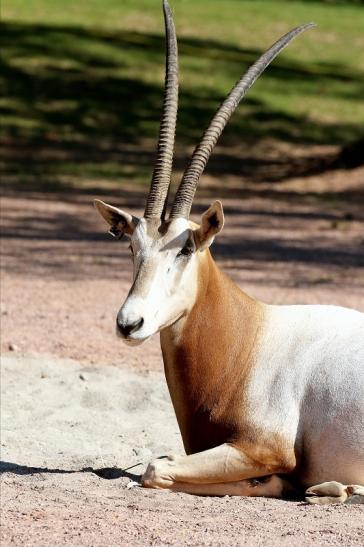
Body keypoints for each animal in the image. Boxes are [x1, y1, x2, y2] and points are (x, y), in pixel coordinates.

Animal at [94, 1, 364, 506]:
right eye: (133, 246)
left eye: (185, 249)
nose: (129, 323)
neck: (248, 336)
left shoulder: (264, 445)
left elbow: (155, 468)